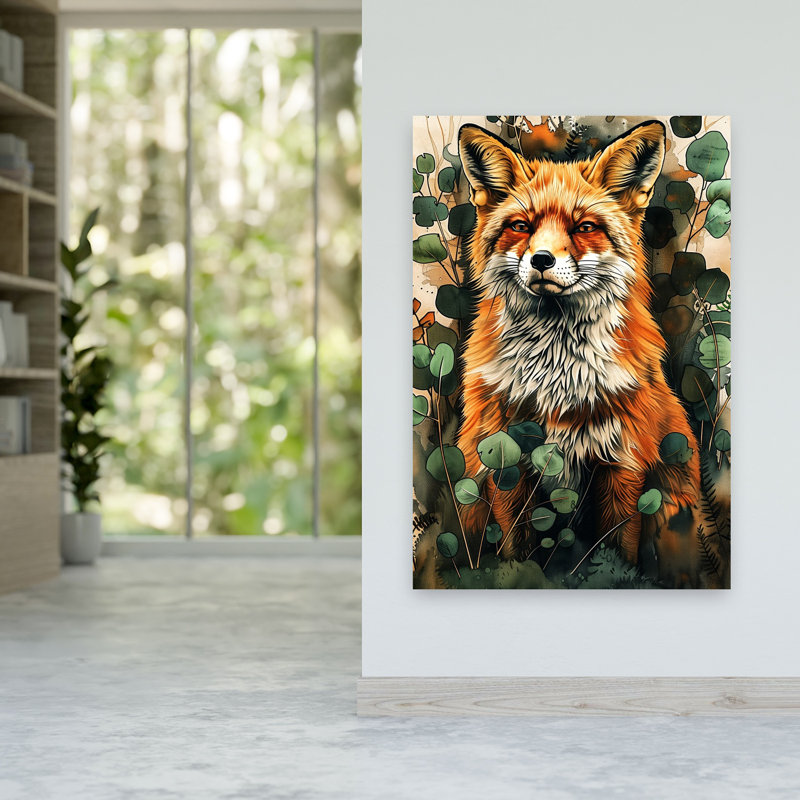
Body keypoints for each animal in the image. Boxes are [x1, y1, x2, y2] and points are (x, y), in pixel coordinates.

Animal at [455, 120, 703, 587]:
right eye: (521, 226)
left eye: (585, 227)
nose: (541, 260)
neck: (557, 381)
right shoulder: (506, 462)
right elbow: (518, 551)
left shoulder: (623, 464)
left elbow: (615, 554)